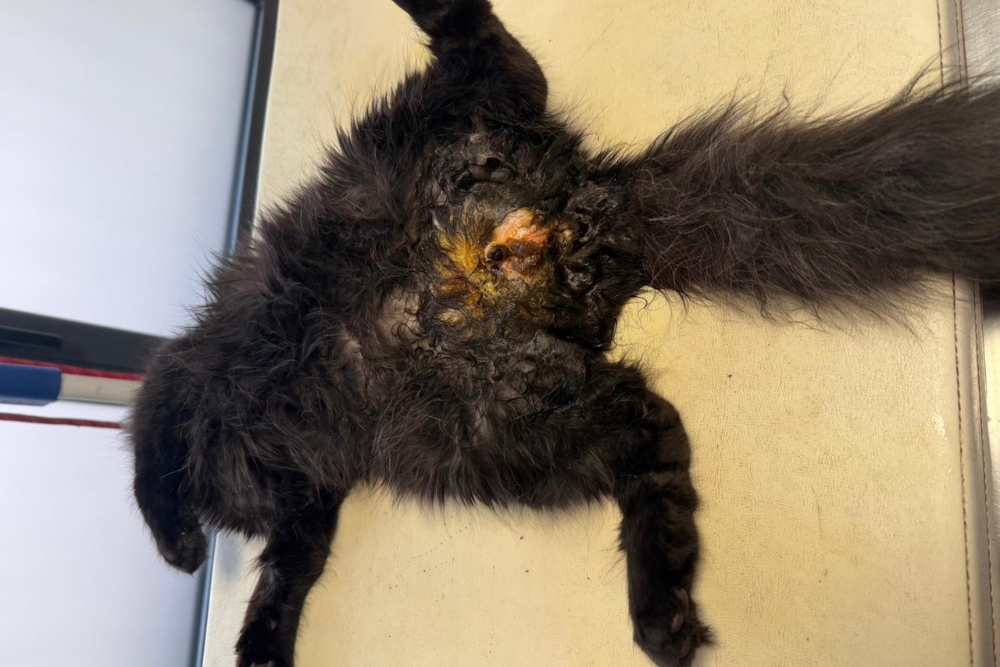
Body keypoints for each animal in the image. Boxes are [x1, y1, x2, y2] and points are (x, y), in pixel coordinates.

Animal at [128, 1, 1000, 666]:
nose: (212, 534)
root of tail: (582, 223)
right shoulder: (310, 499)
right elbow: (285, 576)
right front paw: (260, 646)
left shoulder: (182, 381)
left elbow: (152, 465)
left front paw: (181, 550)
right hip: (531, 424)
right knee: (658, 444)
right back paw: (665, 617)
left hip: (434, 142)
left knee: (477, 33)